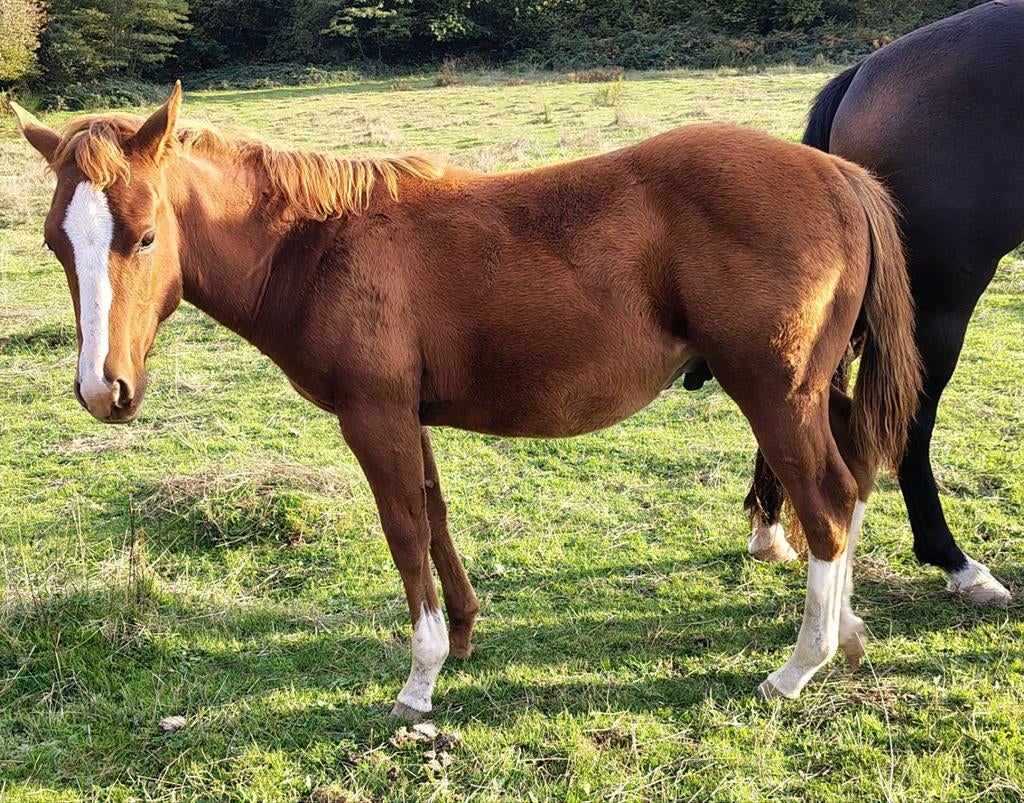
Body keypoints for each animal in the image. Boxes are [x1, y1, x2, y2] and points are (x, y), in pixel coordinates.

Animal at [10, 83, 920, 715]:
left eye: (144, 236)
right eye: (58, 242)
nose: (103, 390)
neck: (318, 244)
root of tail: (838, 174)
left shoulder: (373, 416)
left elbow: (404, 531)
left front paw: (419, 680)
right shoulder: (406, 414)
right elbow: (436, 513)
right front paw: (467, 633)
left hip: (776, 391)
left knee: (827, 504)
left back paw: (796, 667)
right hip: (817, 391)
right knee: (848, 490)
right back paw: (845, 633)